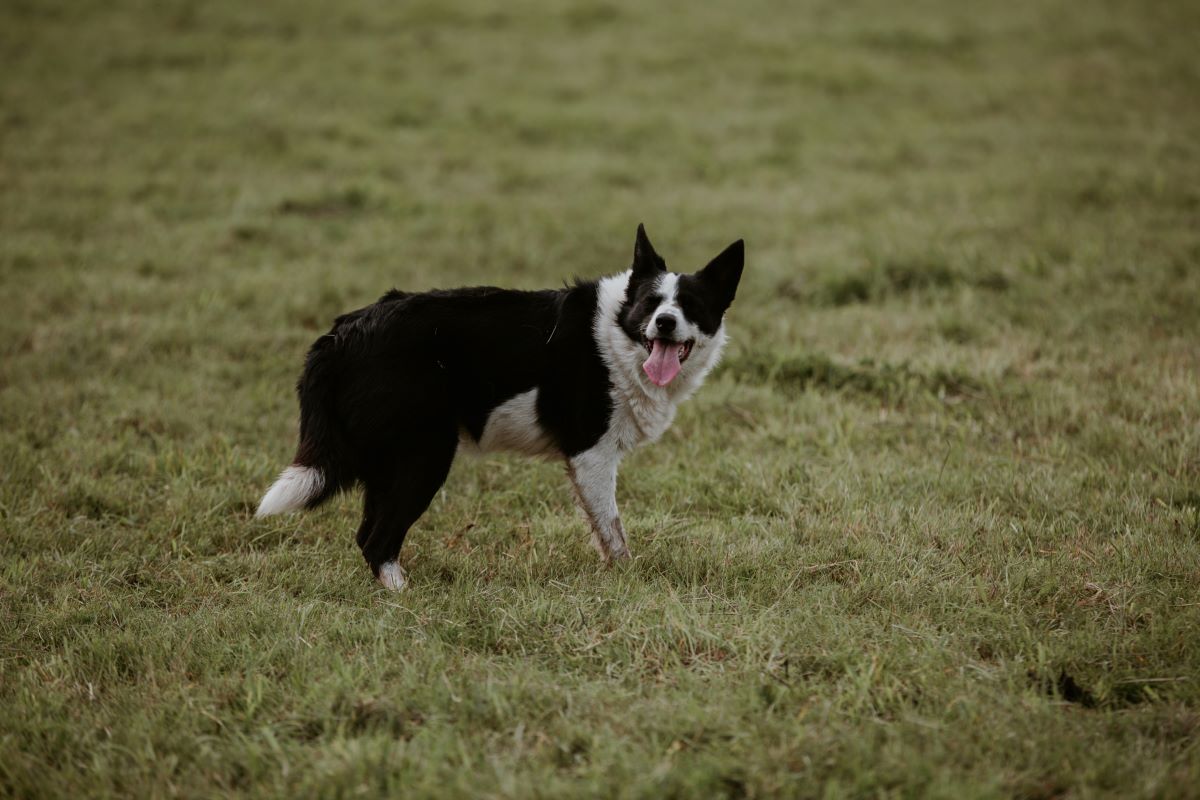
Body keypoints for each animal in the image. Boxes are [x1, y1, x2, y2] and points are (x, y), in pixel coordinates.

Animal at [255, 225, 739, 587]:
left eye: (690, 306)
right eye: (651, 304)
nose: (665, 323)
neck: (621, 338)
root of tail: (340, 334)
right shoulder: (592, 456)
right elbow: (613, 532)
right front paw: (628, 580)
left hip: (391, 461)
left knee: (366, 537)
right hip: (425, 457)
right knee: (379, 541)